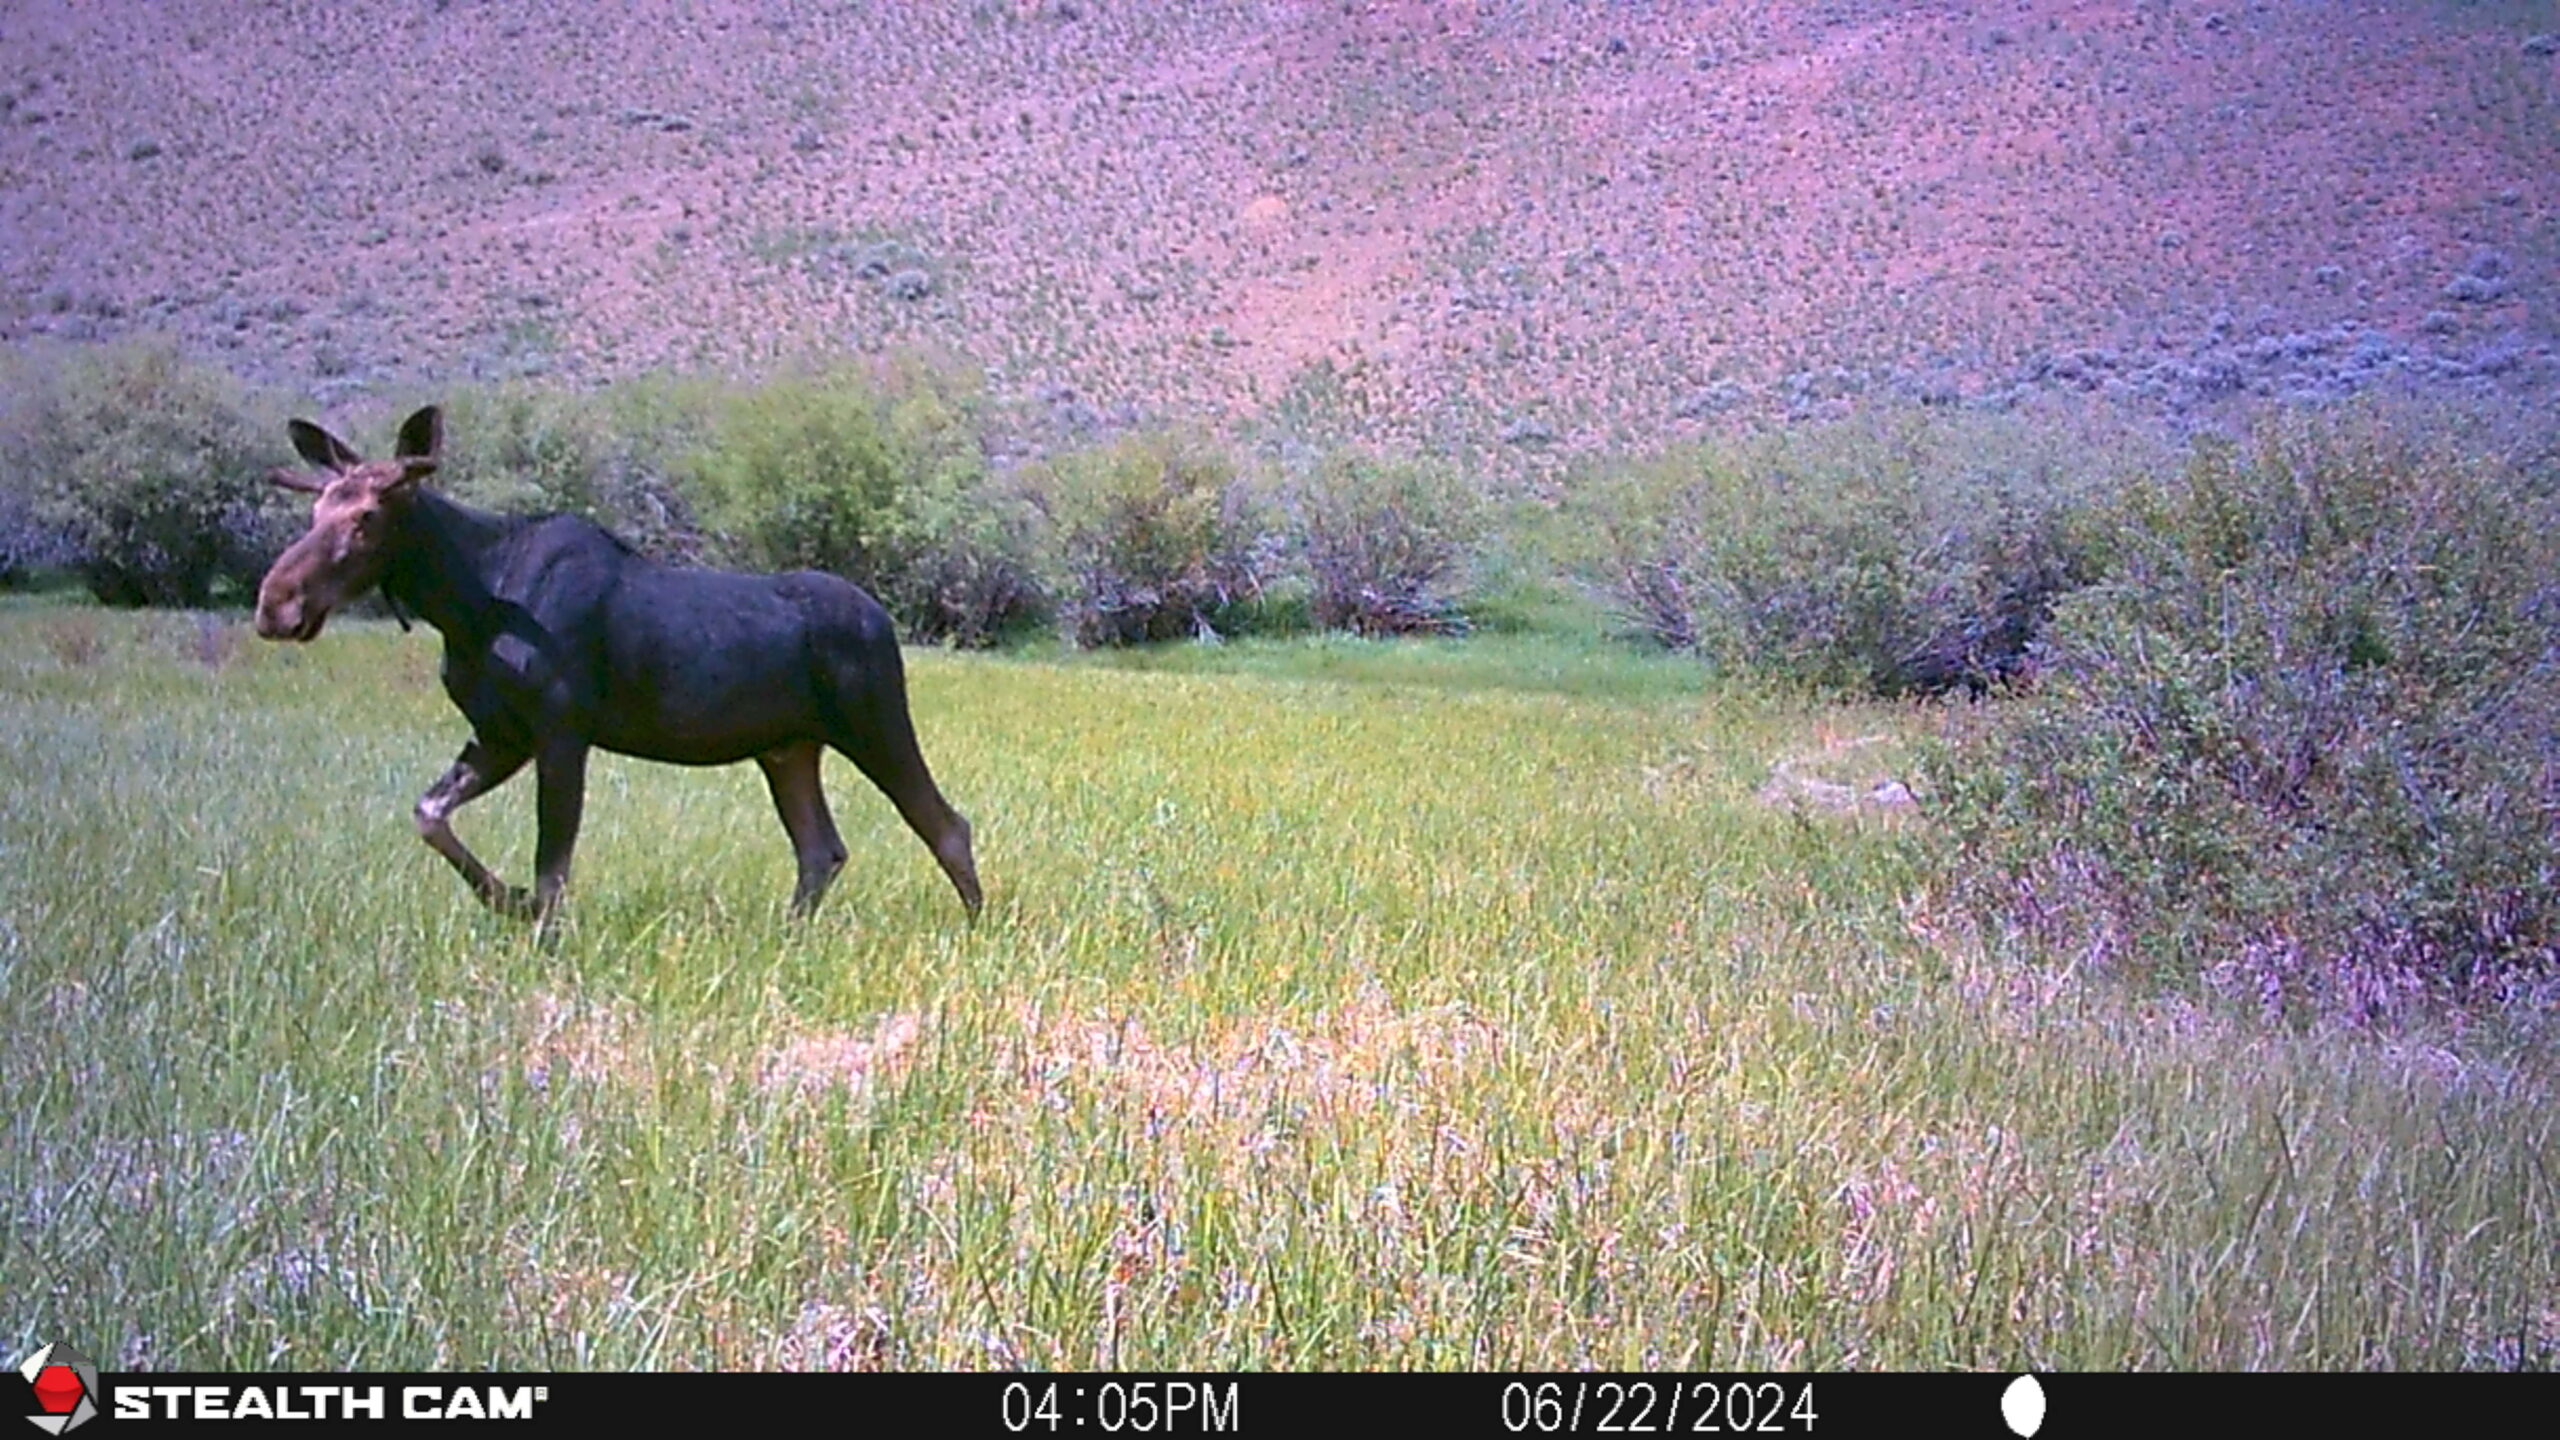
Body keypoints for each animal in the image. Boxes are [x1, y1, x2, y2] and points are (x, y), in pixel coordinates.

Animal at [253, 405, 982, 926]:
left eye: (367, 517)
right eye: (316, 508)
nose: (276, 603)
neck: (466, 601)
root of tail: (882, 619)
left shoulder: (560, 727)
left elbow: (551, 864)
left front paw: (537, 927)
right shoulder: (501, 732)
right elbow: (430, 813)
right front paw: (507, 900)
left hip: (872, 717)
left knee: (945, 823)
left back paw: (976, 929)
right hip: (788, 748)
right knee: (820, 849)